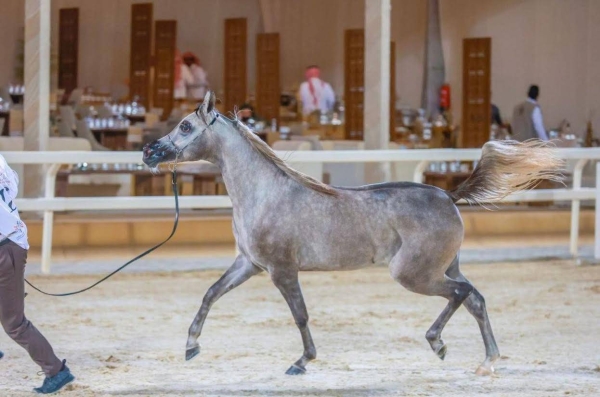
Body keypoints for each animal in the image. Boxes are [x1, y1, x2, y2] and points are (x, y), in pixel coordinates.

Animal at [143, 91, 564, 376]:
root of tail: (447, 194)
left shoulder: (282, 270)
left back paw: (439, 343)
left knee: (462, 294)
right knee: (475, 298)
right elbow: (211, 294)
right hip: (444, 267)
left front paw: (302, 362)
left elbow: (300, 315)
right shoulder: (249, 264)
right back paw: (487, 361)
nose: (148, 152)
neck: (265, 192)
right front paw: (191, 346)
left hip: (415, 274)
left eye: (185, 126)